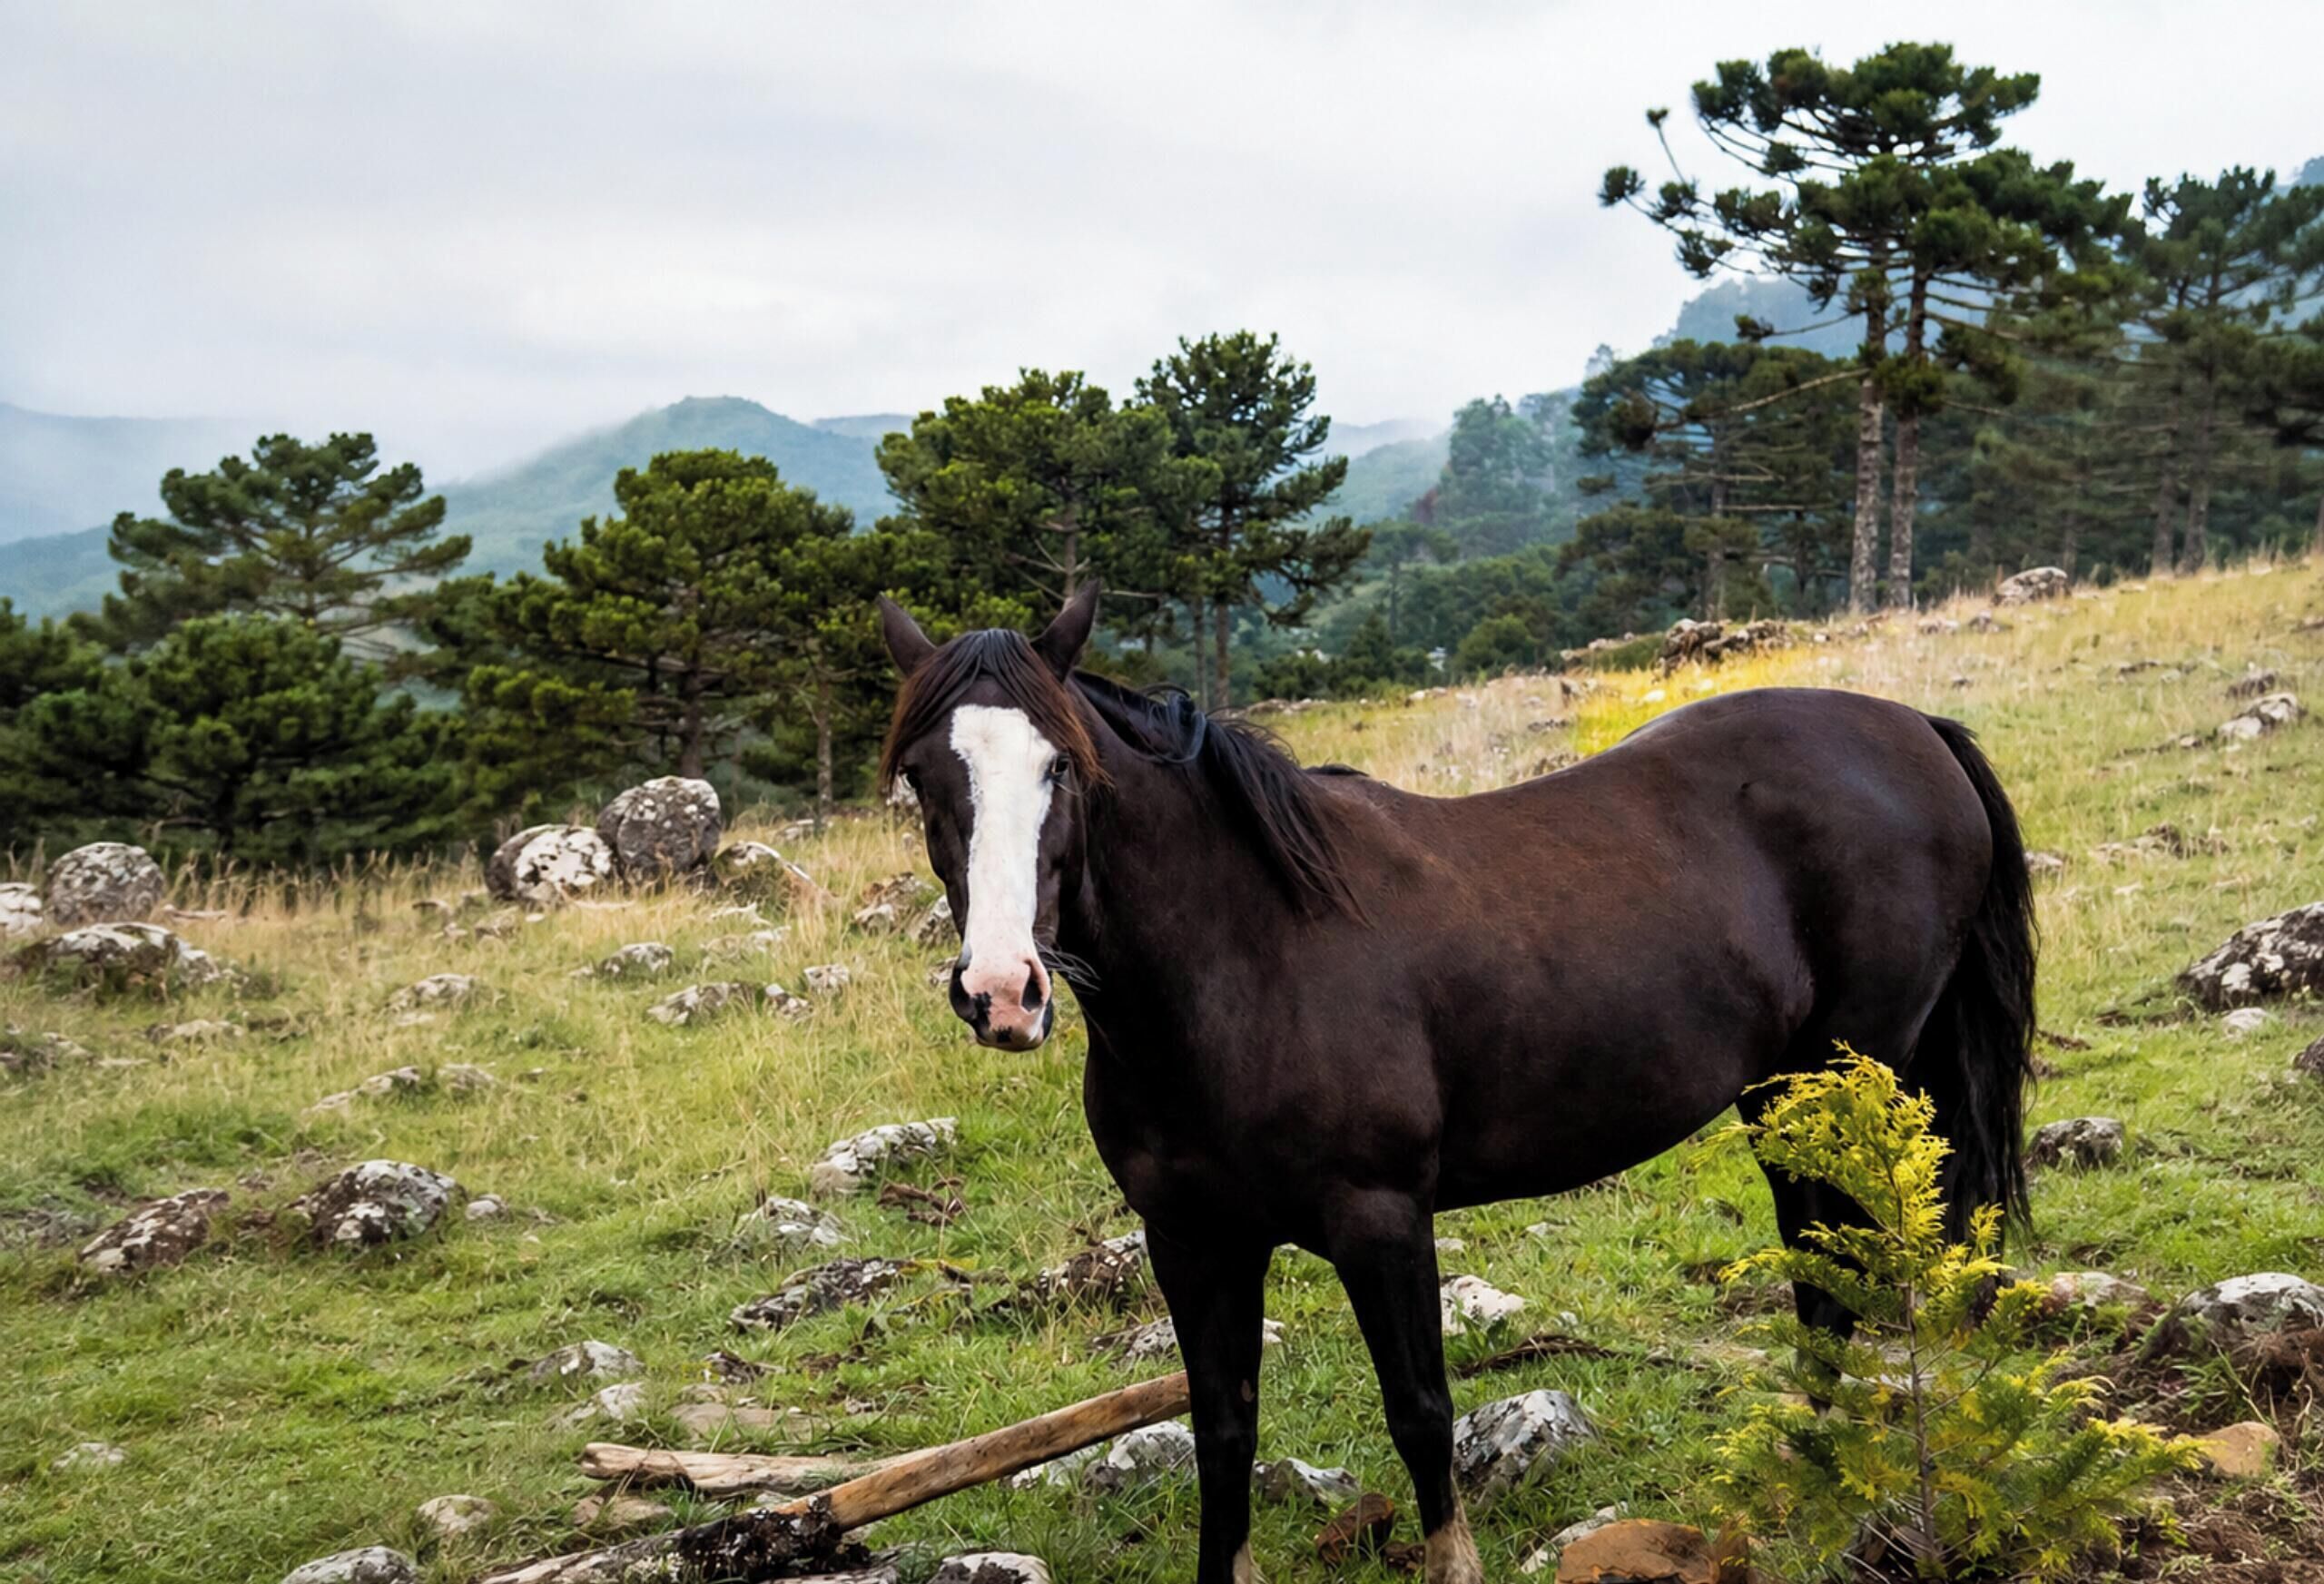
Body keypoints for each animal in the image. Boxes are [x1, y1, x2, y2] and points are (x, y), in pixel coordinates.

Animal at [875, 584, 2035, 1584]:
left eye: (1061, 768)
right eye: (924, 778)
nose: (1002, 990)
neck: (1246, 958)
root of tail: (1915, 728)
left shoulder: (1381, 1216)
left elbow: (1420, 1408)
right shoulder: (1191, 1237)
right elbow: (1223, 1424)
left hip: (1849, 1081)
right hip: (1784, 1095)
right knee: (1818, 1269)